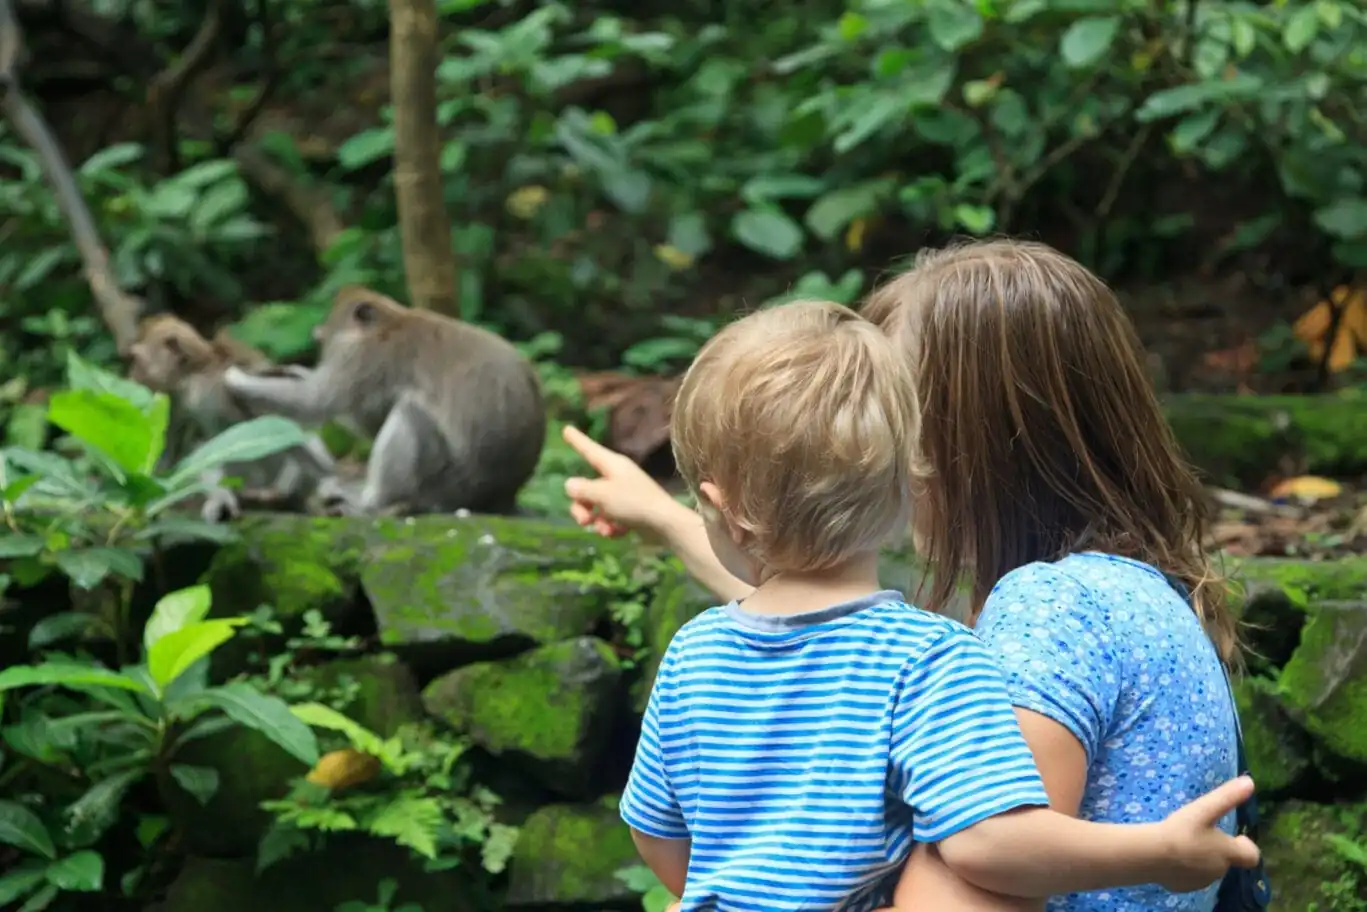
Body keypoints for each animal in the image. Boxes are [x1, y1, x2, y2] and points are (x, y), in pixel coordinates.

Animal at [221, 287, 546, 514]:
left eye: (327, 337)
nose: (320, 340)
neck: (391, 320)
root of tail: (501, 497)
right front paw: (290, 371)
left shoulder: (367, 357)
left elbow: (320, 401)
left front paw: (238, 380)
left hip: (447, 485)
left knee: (411, 413)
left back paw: (373, 501)